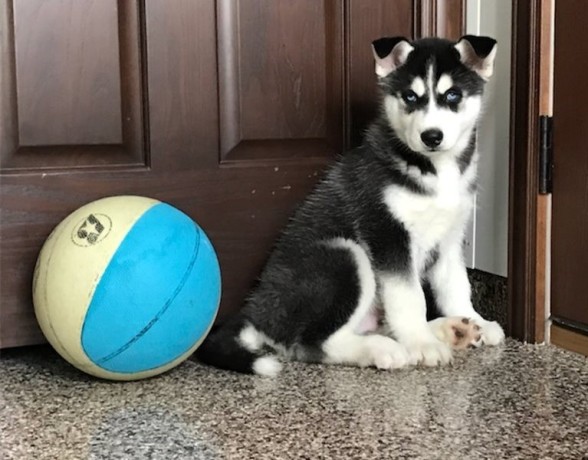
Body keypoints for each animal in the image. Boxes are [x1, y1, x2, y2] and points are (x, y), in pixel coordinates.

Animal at [198, 36, 506, 378]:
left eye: (453, 95)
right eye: (410, 97)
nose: (431, 137)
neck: (433, 170)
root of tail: (256, 309)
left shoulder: (450, 237)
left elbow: (456, 286)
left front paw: (474, 319)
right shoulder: (387, 232)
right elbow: (409, 296)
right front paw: (421, 343)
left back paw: (451, 329)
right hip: (344, 255)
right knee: (313, 342)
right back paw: (383, 349)